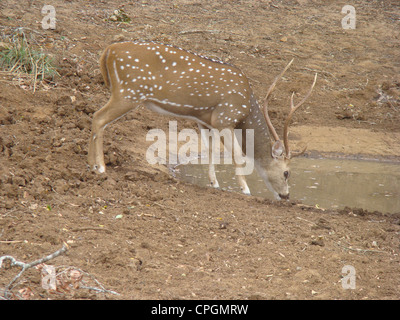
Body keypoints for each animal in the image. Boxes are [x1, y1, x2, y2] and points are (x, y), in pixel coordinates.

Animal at [89, 41, 318, 199]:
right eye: (287, 172)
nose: (286, 195)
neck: (246, 110)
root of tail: (108, 51)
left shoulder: (205, 121)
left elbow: (210, 150)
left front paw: (214, 183)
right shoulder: (225, 117)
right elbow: (237, 155)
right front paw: (245, 189)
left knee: (95, 118)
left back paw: (92, 166)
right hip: (129, 92)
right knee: (98, 118)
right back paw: (100, 167)